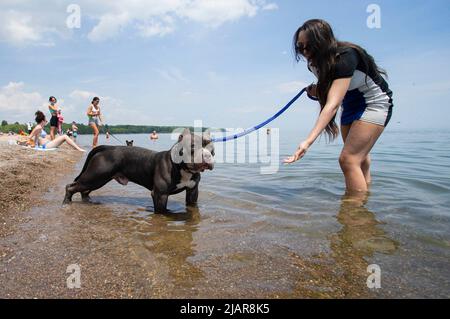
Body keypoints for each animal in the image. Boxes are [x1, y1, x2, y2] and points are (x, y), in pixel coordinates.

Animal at [62, 129, 214, 214]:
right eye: (193, 147)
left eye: (212, 149)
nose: (207, 156)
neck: (184, 169)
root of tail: (107, 147)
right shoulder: (160, 194)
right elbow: (162, 211)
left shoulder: (193, 192)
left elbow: (192, 205)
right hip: (96, 176)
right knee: (71, 186)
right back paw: (66, 202)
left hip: (98, 179)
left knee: (84, 189)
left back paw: (87, 200)